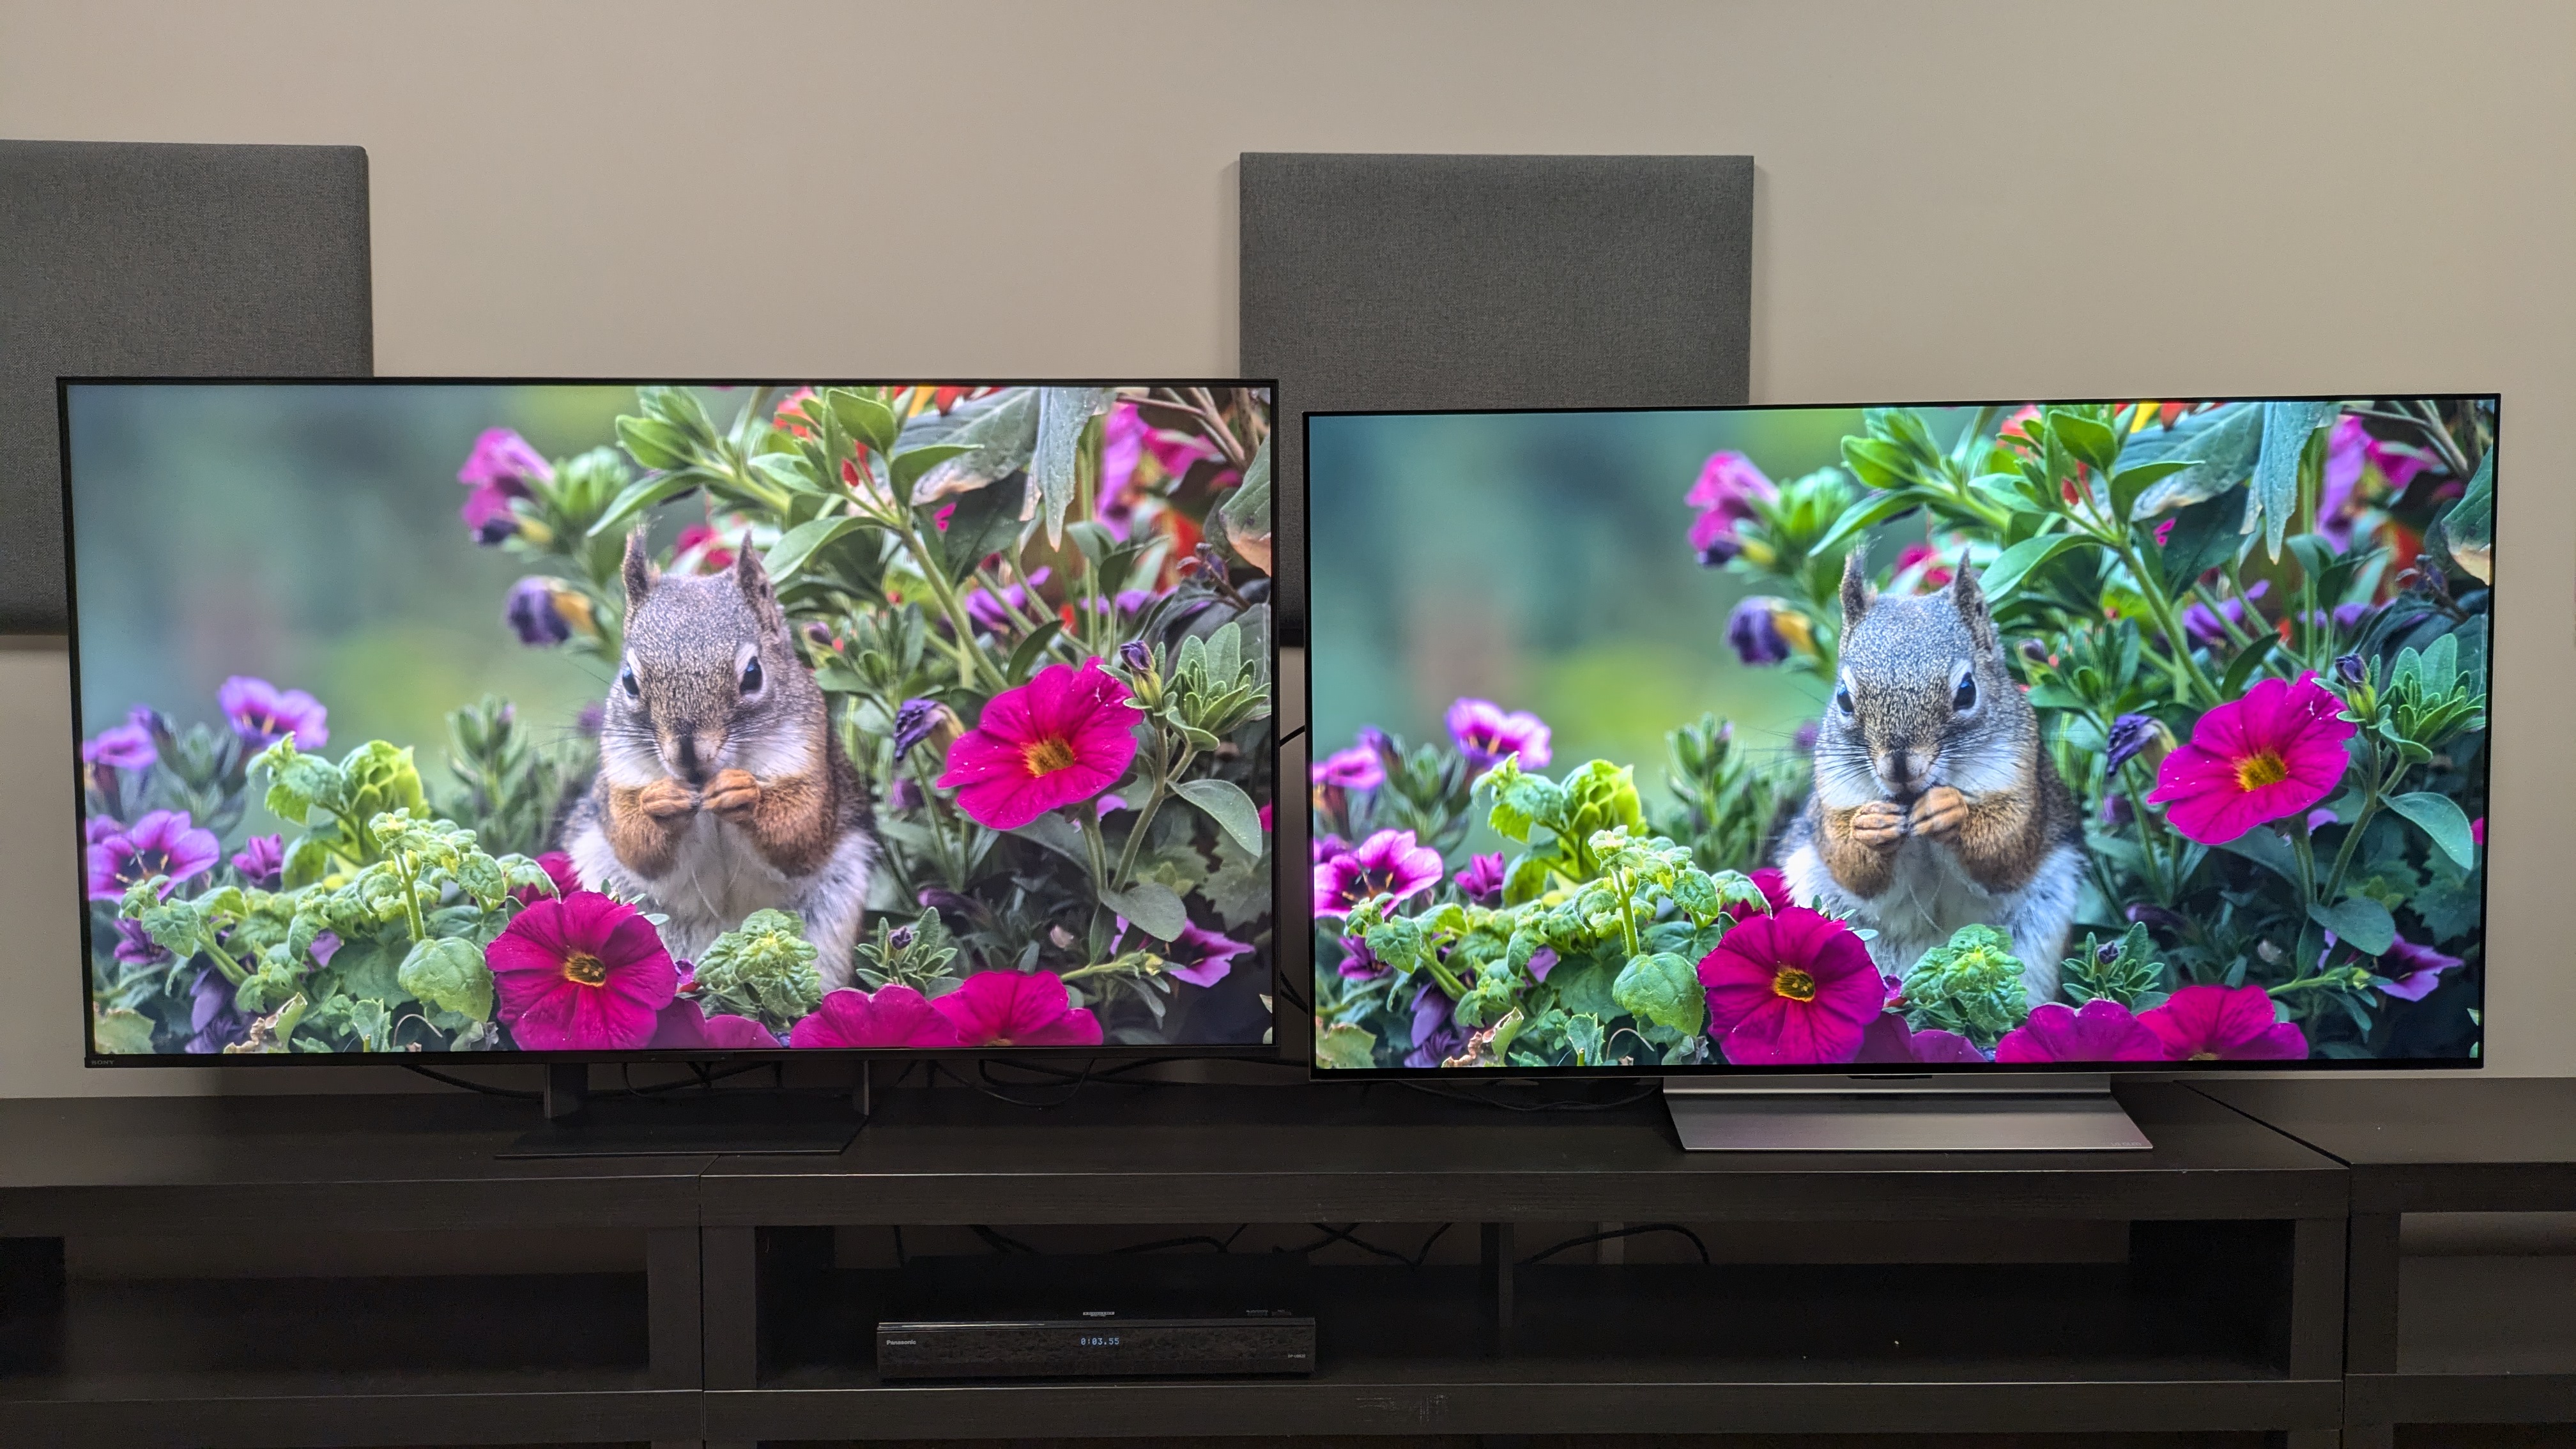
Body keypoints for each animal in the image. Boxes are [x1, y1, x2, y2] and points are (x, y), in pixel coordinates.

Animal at [561, 531, 878, 989]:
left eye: (753, 674)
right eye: (629, 681)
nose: (688, 756)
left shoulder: (812, 761)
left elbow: (799, 831)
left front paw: (743, 793)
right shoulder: (618, 777)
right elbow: (634, 841)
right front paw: (660, 802)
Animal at [1776, 553, 2084, 1002]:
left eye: (1967, 691)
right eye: (1844, 699)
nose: (1900, 768)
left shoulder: (2023, 781)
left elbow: (2005, 850)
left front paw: (1949, 810)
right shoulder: (1832, 796)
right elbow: (1851, 866)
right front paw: (1870, 826)